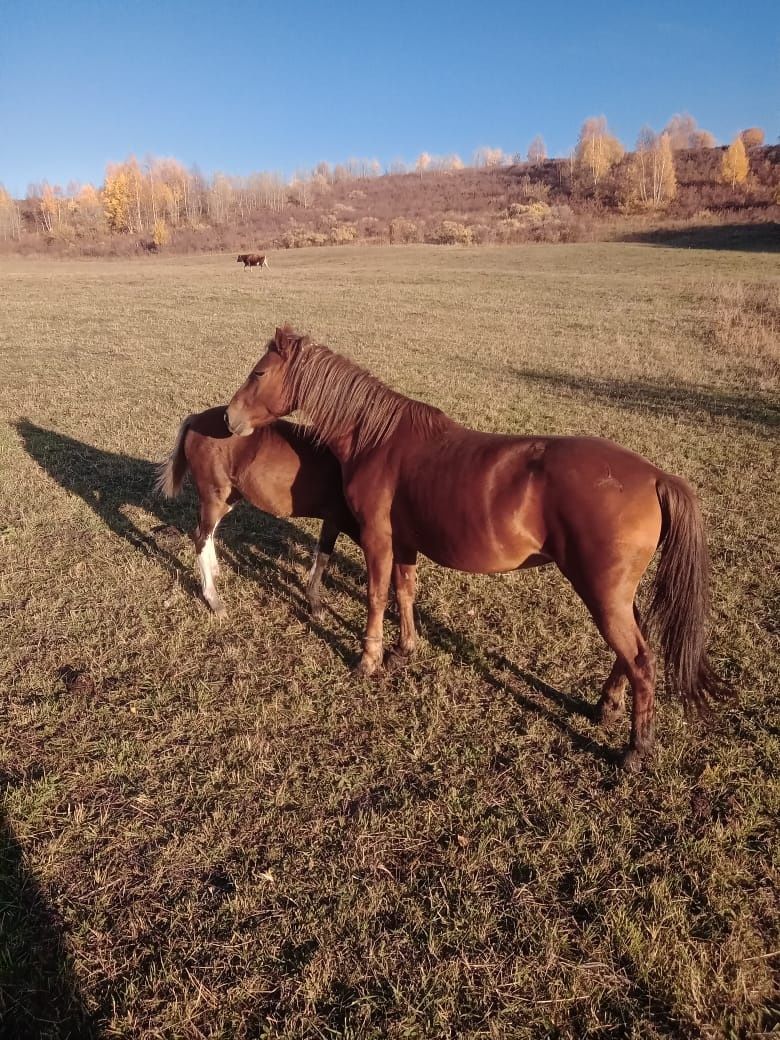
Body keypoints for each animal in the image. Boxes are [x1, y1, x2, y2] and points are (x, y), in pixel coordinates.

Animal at [156, 405, 357, 615]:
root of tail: (196, 419)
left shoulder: (333, 521)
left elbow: (322, 556)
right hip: (215, 495)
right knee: (200, 536)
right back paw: (214, 599)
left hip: (226, 497)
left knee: (206, 530)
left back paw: (214, 569)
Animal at [225, 326, 732, 773]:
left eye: (258, 373)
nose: (228, 419)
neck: (378, 439)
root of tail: (655, 477)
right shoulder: (404, 544)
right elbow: (404, 593)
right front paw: (403, 651)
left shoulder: (378, 540)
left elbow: (375, 597)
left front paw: (369, 660)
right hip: (614, 595)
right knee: (632, 649)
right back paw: (606, 704)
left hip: (602, 593)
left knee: (641, 661)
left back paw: (635, 749)